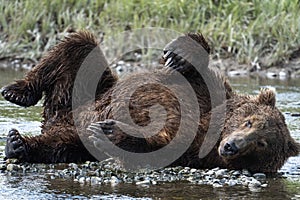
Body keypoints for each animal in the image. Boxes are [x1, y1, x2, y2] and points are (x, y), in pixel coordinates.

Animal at [1, 30, 298, 173]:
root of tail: (55, 120)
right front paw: (179, 54)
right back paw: (16, 92)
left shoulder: (195, 151)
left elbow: (158, 147)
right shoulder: (206, 91)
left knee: (60, 146)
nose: (232, 146)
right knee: (78, 44)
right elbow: (189, 70)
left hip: (72, 135)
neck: (213, 128)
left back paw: (19, 144)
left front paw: (111, 132)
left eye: (262, 143)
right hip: (82, 90)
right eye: (249, 121)